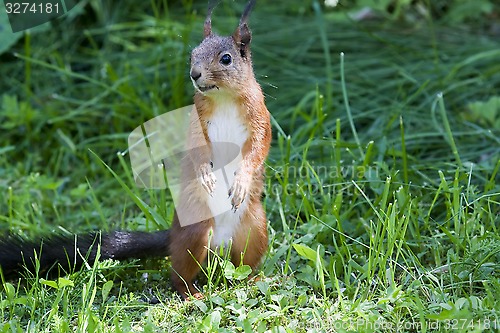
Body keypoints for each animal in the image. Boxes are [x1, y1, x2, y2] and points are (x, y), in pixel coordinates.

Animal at [0, 0, 272, 300]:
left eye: (226, 58)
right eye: (193, 54)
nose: (195, 74)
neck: (222, 98)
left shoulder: (259, 116)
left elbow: (259, 147)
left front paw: (242, 181)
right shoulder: (196, 120)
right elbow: (196, 148)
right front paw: (205, 175)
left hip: (255, 230)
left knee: (243, 264)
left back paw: (253, 280)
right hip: (196, 232)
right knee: (179, 271)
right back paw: (190, 291)